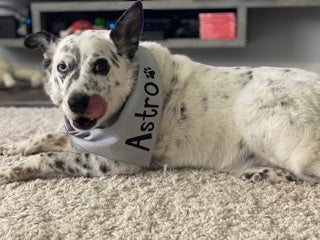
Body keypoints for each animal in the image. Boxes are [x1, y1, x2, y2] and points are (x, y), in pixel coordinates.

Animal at [0, 0, 320, 184]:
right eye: (62, 68)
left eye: (101, 66)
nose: (76, 103)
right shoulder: (82, 138)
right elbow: (48, 136)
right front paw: (15, 147)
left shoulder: (112, 162)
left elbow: (50, 156)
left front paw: (11, 170)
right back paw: (265, 172)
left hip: (262, 122)